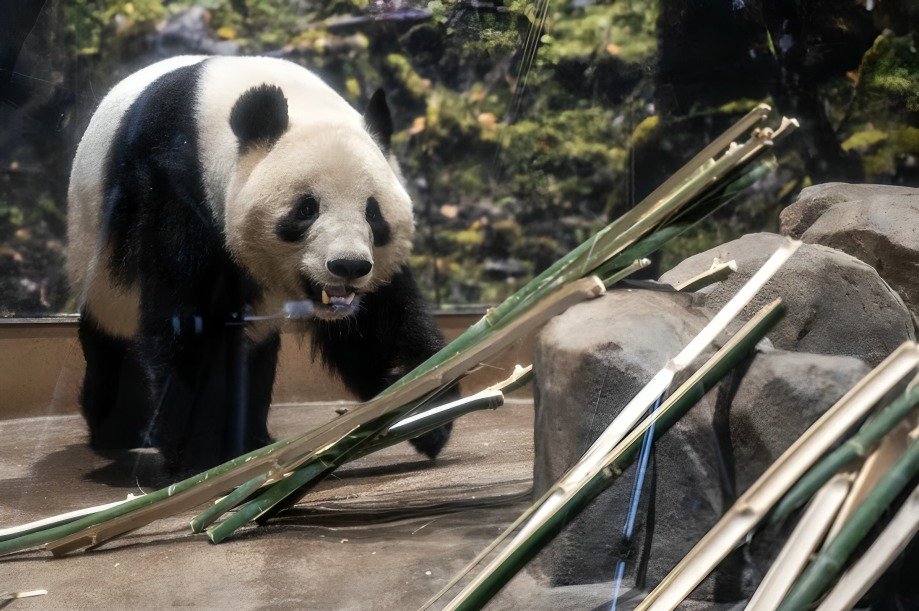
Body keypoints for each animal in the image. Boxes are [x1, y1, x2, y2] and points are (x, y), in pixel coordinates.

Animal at [66, 55, 454, 474]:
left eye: (373, 213)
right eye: (306, 209)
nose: (348, 267)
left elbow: (380, 320)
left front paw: (425, 409)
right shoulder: (175, 185)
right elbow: (188, 322)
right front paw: (198, 459)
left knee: (253, 353)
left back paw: (251, 436)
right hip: (99, 257)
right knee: (114, 341)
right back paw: (118, 429)